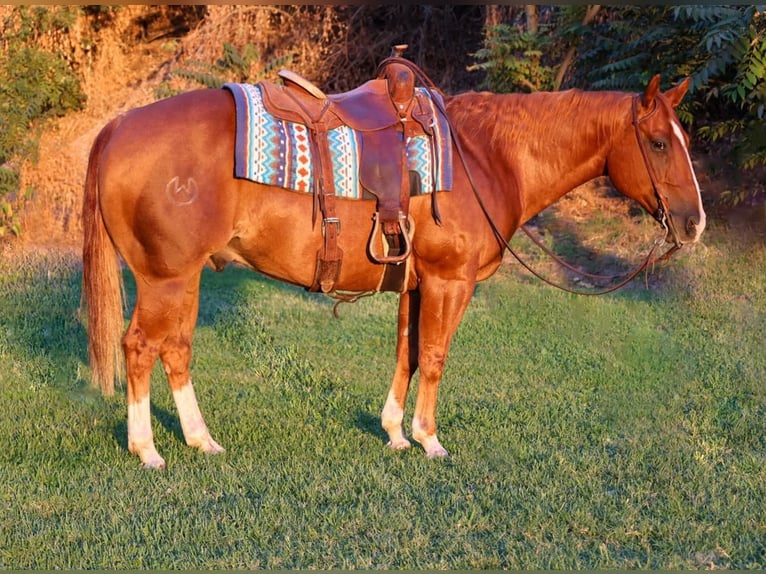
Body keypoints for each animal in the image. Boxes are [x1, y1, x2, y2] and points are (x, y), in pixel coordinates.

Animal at [82, 71, 708, 468]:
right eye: (657, 142)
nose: (695, 222)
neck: (486, 157)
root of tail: (119, 128)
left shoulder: (416, 283)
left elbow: (407, 354)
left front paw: (394, 434)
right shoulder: (451, 282)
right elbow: (433, 357)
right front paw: (429, 440)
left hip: (183, 280)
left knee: (175, 349)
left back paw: (200, 440)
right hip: (166, 279)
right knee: (140, 347)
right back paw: (147, 450)